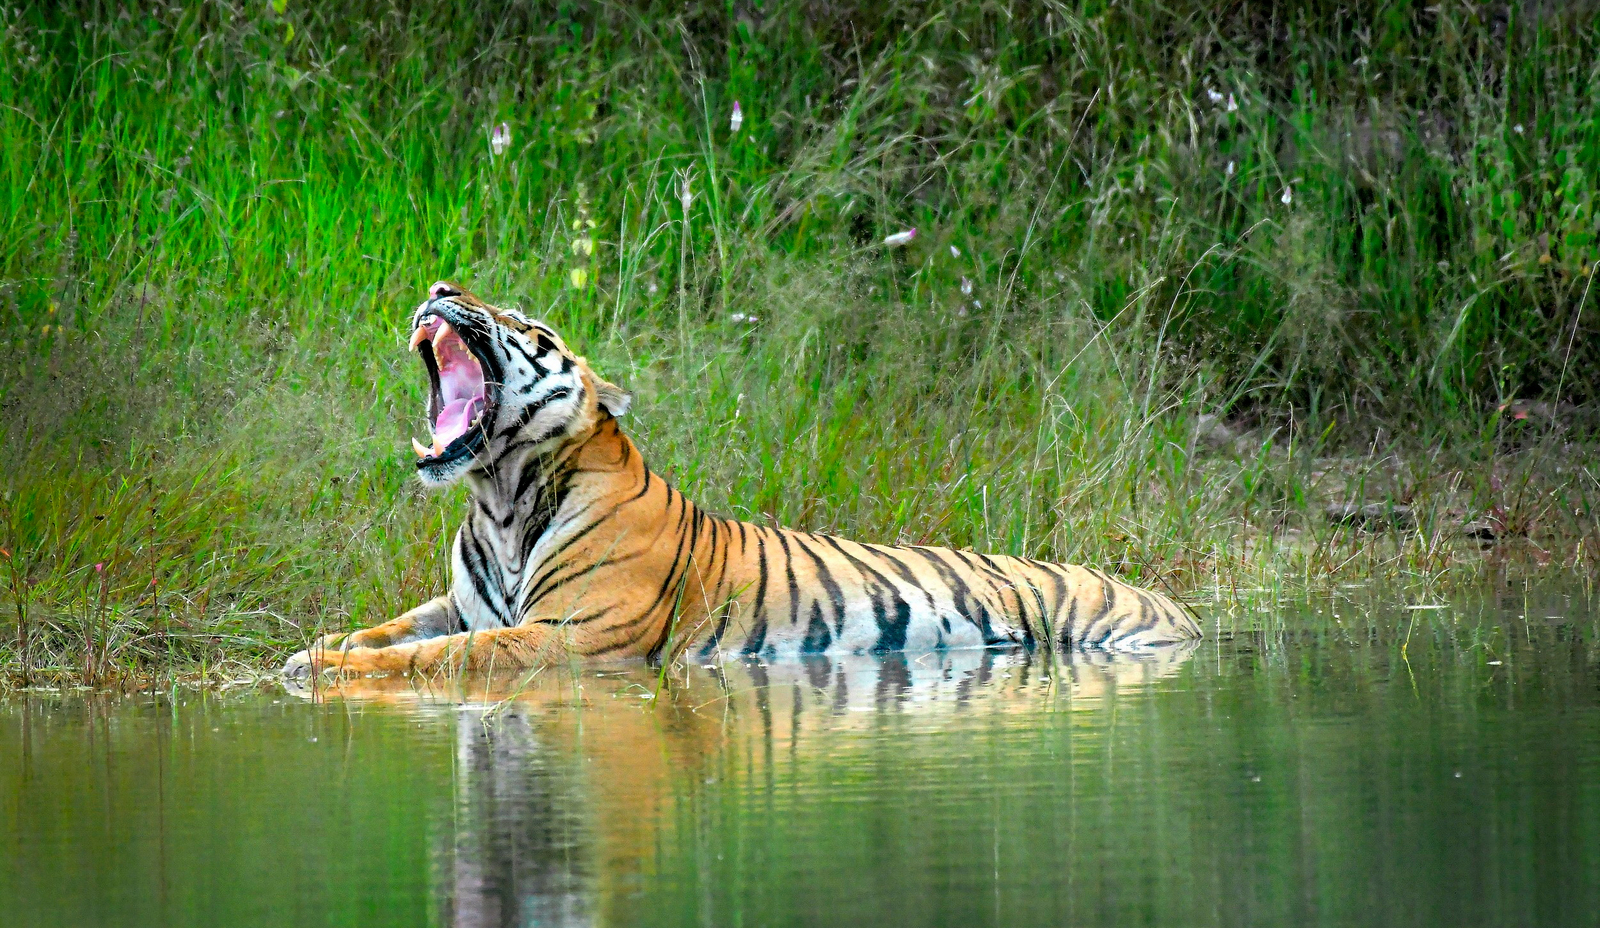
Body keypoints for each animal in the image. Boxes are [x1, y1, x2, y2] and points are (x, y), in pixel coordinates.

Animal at [281, 281, 1201, 682]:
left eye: (527, 324)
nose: (442, 287)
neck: (501, 495)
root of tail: (1175, 603)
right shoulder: (463, 603)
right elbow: (392, 628)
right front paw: (314, 648)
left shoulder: (570, 632)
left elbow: (442, 656)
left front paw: (324, 670)